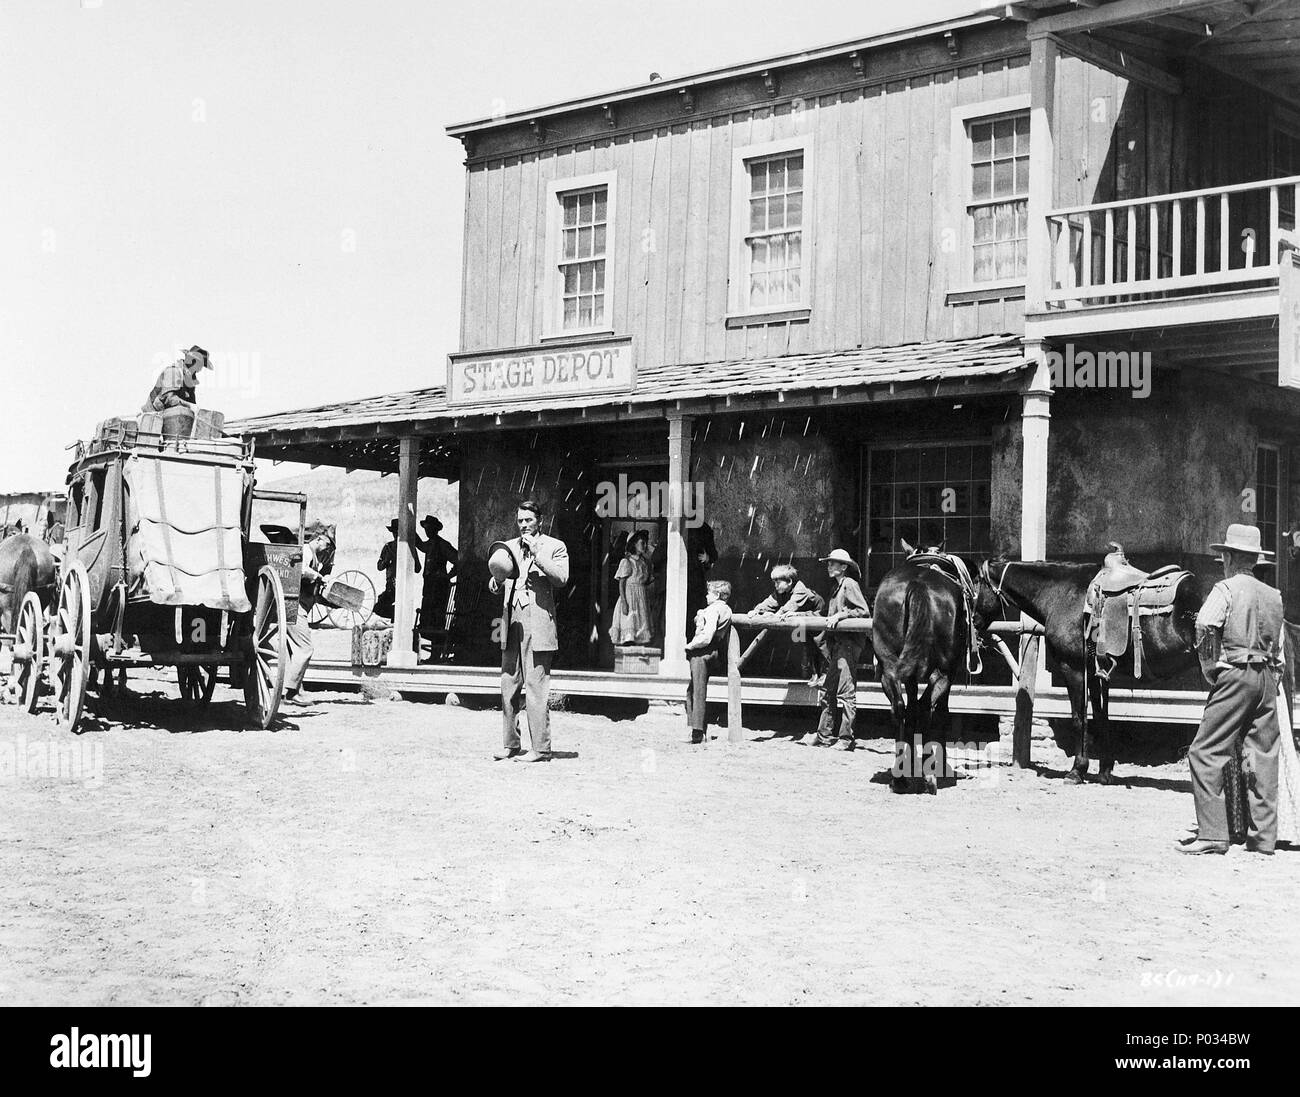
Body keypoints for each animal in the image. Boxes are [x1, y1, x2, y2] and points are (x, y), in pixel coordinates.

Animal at [873, 540, 1196, 790]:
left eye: (974, 589)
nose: (971, 622)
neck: (1065, 594)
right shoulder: (1096, 672)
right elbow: (1101, 717)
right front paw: (1104, 772)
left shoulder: (1073, 668)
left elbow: (1079, 717)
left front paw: (1077, 771)